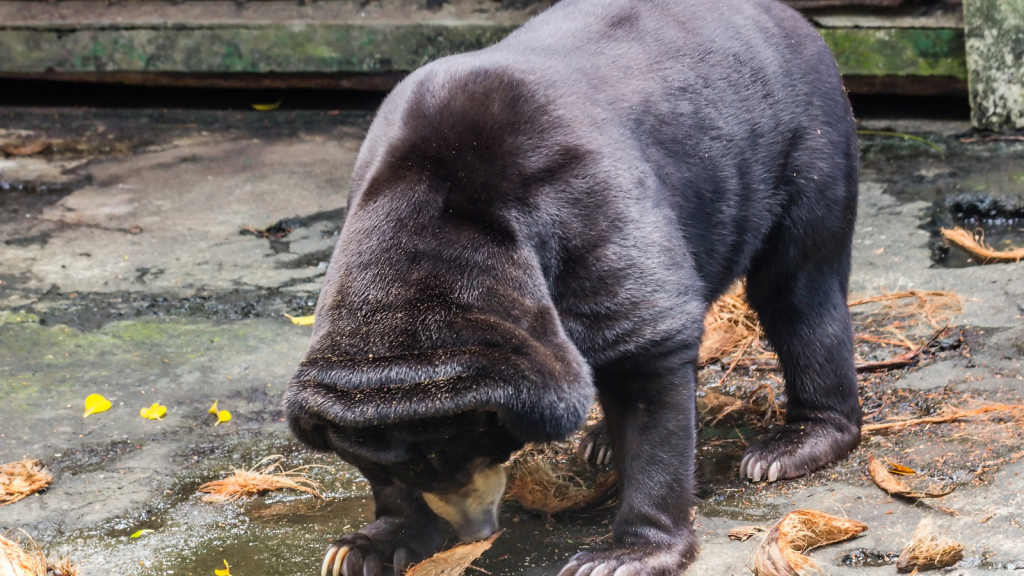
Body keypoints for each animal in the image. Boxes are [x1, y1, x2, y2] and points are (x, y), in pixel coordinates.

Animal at [282, 0, 864, 569]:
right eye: (414, 468)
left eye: (477, 445)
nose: (475, 530)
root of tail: (795, 19)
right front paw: (367, 547)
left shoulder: (589, 205)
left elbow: (647, 348)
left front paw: (623, 554)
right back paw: (604, 442)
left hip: (807, 146)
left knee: (798, 290)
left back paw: (788, 448)